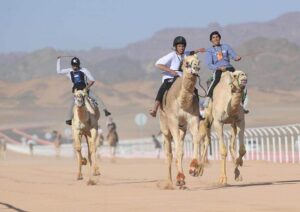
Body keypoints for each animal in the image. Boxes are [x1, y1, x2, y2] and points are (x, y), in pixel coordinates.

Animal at [159, 53, 202, 188]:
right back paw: (169, 183)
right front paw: (180, 178)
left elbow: (196, 139)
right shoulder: (173, 120)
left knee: (180, 147)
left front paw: (194, 168)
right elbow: (177, 149)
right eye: (186, 63)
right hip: (164, 127)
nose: (196, 68)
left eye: (198, 61)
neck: (182, 101)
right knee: (169, 153)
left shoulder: (193, 118)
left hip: (182, 128)